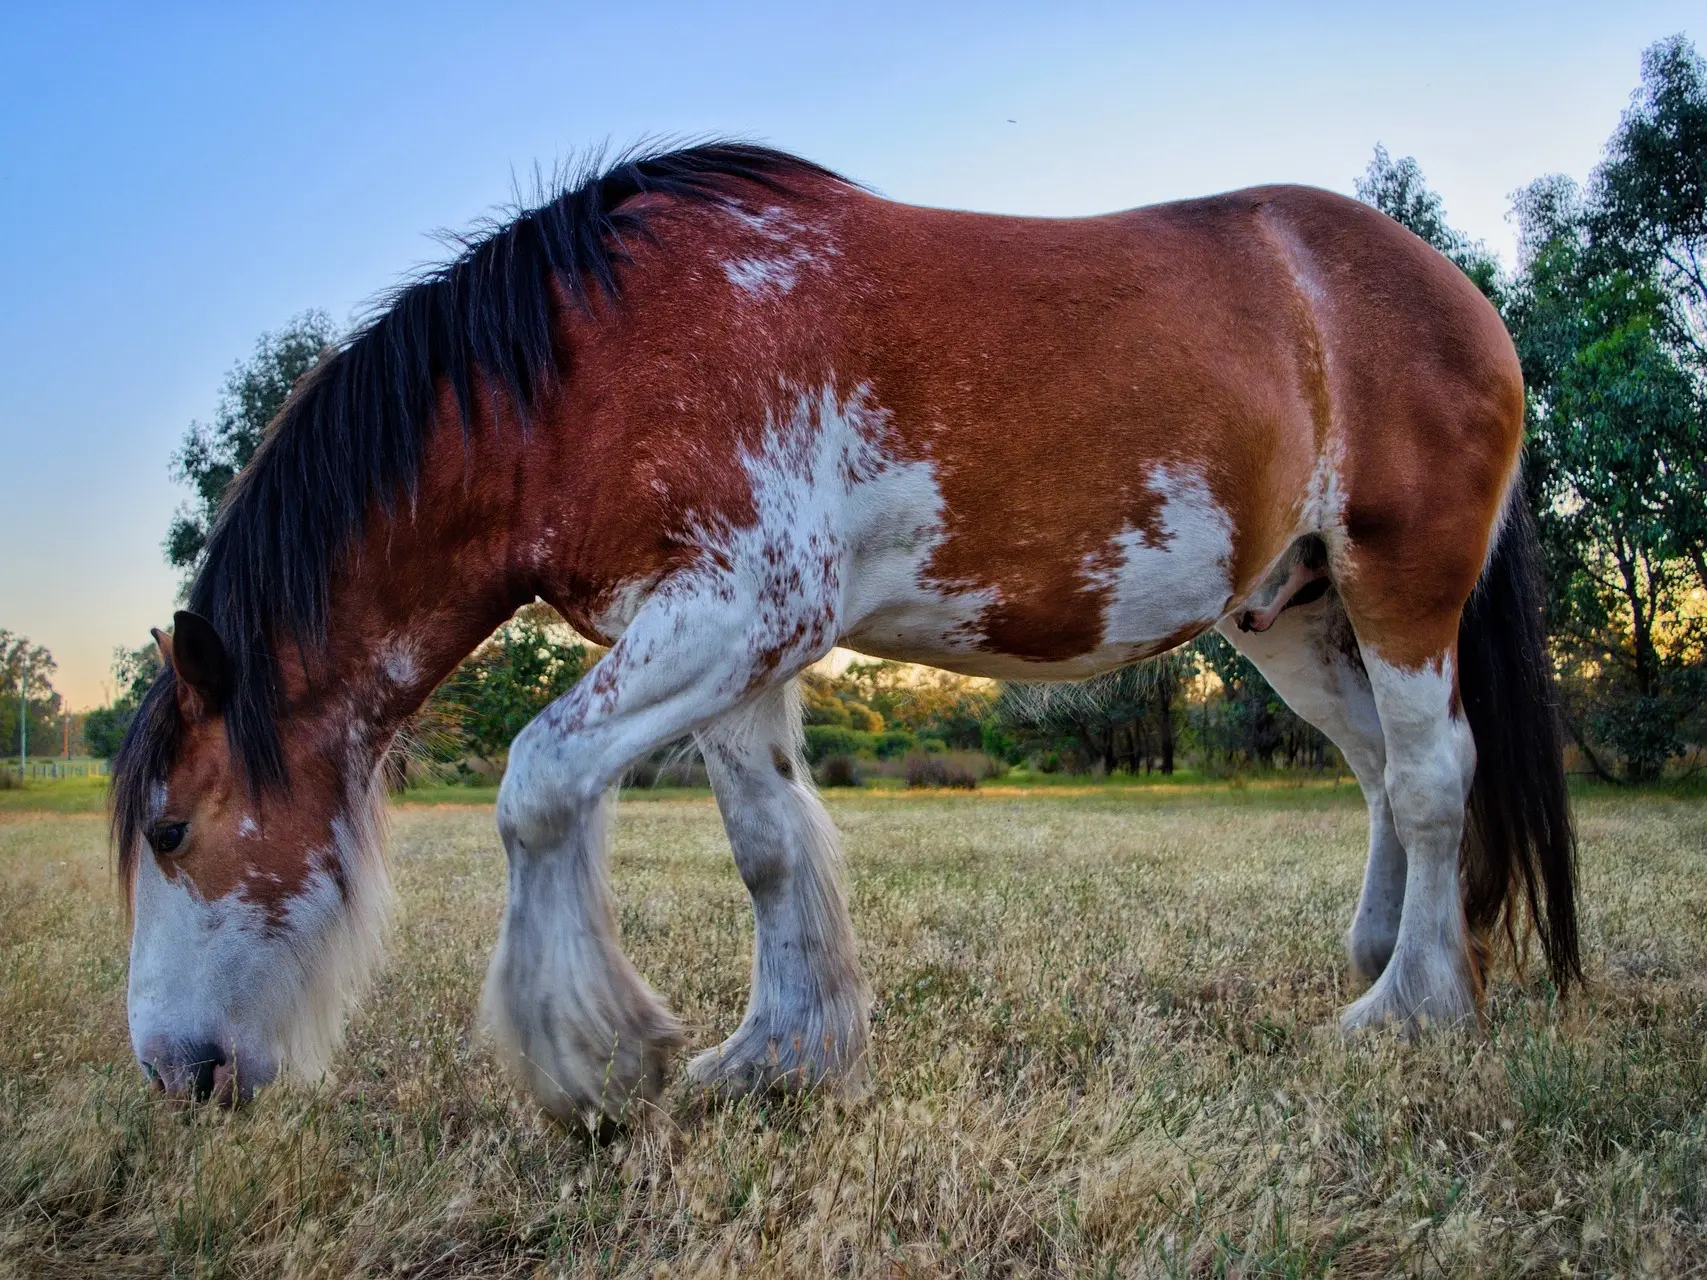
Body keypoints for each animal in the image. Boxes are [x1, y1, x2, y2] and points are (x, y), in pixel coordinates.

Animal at [110, 142, 1570, 1119]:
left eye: (173, 829)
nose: (177, 1074)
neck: (589, 364)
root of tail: (1457, 294)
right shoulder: (725, 640)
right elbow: (766, 844)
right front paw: (778, 1057)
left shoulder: (742, 607)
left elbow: (537, 785)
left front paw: (594, 1059)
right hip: (1292, 614)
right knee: (1379, 771)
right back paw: (1386, 957)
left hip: (1401, 584)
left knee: (1432, 775)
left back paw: (1409, 1012)